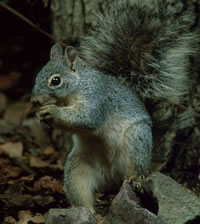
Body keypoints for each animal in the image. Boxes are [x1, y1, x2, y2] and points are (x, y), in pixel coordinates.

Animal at [30, 0, 195, 214]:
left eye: (55, 81)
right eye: (37, 75)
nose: (34, 100)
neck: (76, 88)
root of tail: (111, 179)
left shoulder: (98, 99)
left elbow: (87, 118)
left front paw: (52, 112)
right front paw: (42, 117)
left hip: (136, 140)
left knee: (137, 169)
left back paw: (136, 180)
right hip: (77, 168)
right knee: (81, 192)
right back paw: (88, 212)